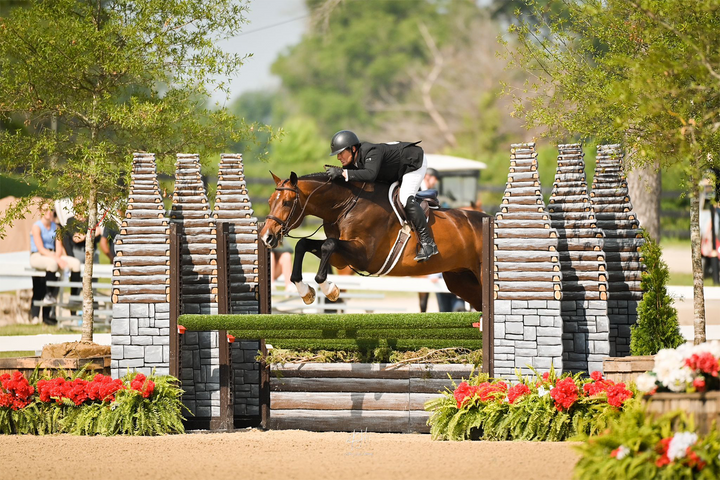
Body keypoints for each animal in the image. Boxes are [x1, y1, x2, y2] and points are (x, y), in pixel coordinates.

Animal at [258, 172, 490, 312]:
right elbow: (305, 244)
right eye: (269, 201)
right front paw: (305, 291)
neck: (346, 205)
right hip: (460, 280)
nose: (266, 237)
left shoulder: (364, 256)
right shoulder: (342, 259)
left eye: (287, 203)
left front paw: (330, 289)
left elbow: (327, 245)